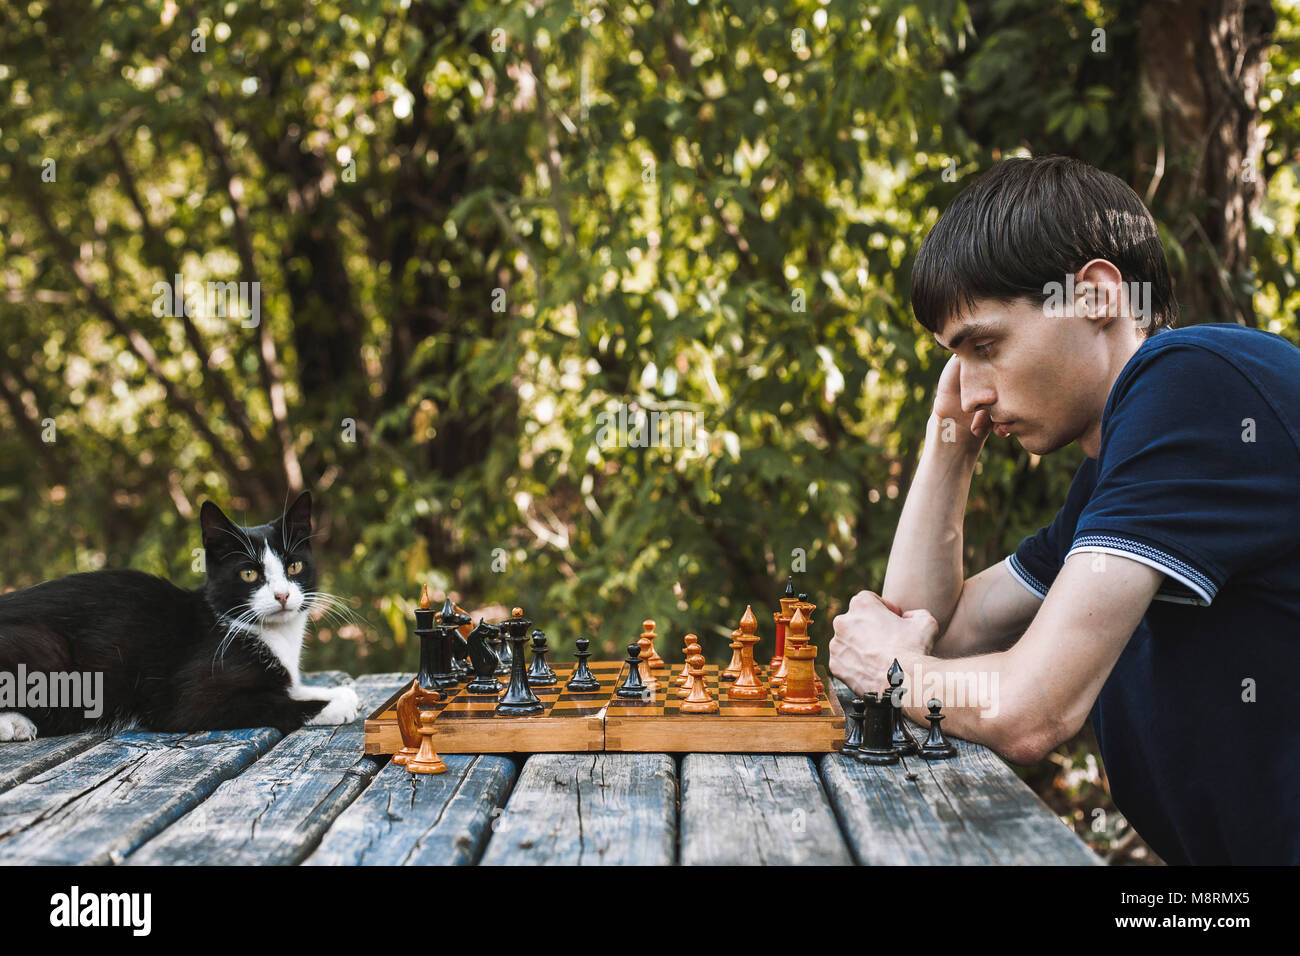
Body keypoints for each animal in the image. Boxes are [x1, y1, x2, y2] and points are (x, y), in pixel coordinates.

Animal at [0, 494, 361, 738]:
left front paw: (338, 693)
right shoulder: (186, 702)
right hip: (47, 650)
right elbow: (276, 702)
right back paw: (14, 723)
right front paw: (336, 705)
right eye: (249, 574)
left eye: (294, 566)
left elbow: (291, 687)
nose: (283, 595)